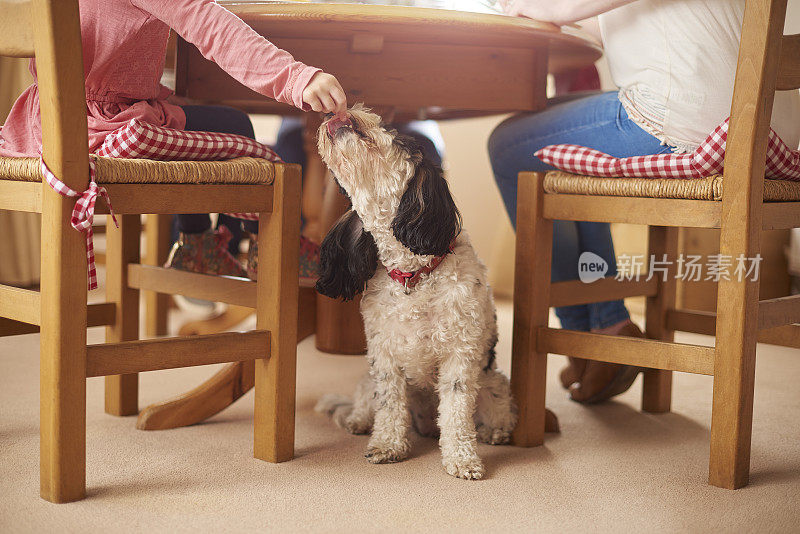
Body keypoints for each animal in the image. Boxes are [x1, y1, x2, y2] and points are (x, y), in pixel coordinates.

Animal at [312, 105, 556, 482]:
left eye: (397, 135)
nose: (339, 111)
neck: (414, 275)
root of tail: (425, 421)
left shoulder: (460, 355)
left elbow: (456, 413)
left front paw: (463, 459)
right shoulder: (385, 356)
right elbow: (389, 406)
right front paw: (387, 445)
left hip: (493, 384)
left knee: (489, 412)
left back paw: (492, 432)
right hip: (369, 380)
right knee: (369, 404)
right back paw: (357, 421)